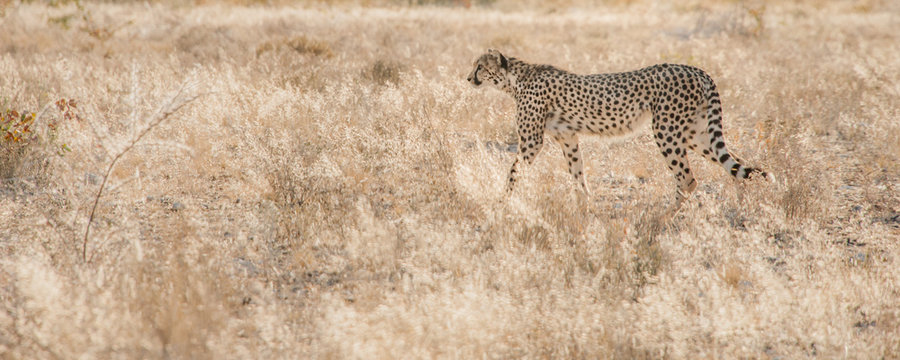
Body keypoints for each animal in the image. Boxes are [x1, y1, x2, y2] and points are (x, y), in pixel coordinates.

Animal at [468, 48, 768, 205]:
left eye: (480, 66)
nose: (469, 78)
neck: (515, 79)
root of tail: (697, 70)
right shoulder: (568, 137)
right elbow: (578, 174)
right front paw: (586, 207)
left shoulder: (532, 142)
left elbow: (514, 170)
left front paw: (502, 201)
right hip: (696, 132)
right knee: (737, 164)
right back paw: (743, 205)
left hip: (667, 130)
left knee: (687, 178)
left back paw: (665, 217)